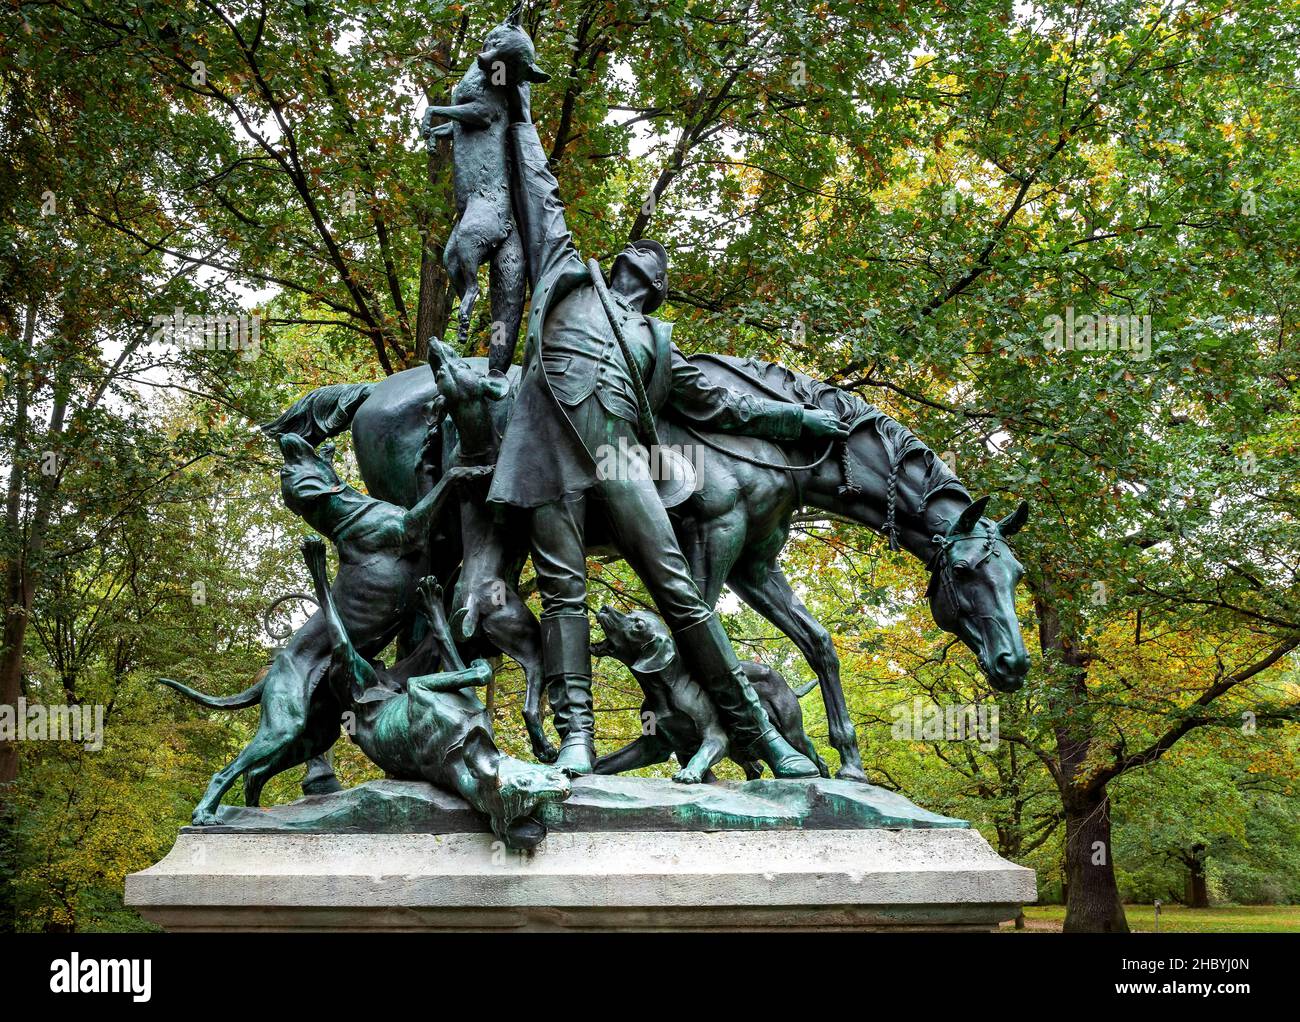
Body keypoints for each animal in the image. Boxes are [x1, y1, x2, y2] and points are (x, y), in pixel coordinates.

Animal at [592, 605, 826, 780]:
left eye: (638, 625)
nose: (605, 608)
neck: (665, 691)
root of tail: (784, 682)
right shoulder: (655, 745)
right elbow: (608, 762)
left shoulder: (715, 738)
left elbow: (701, 756)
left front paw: (689, 773)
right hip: (741, 747)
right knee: (756, 767)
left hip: (791, 732)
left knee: (816, 757)